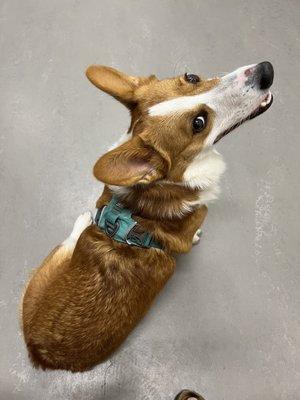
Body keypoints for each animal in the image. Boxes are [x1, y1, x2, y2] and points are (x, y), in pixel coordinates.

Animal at [21, 60, 274, 372]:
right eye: (198, 123)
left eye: (192, 76)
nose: (266, 70)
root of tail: (39, 353)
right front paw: (197, 235)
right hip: (46, 270)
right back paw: (82, 221)